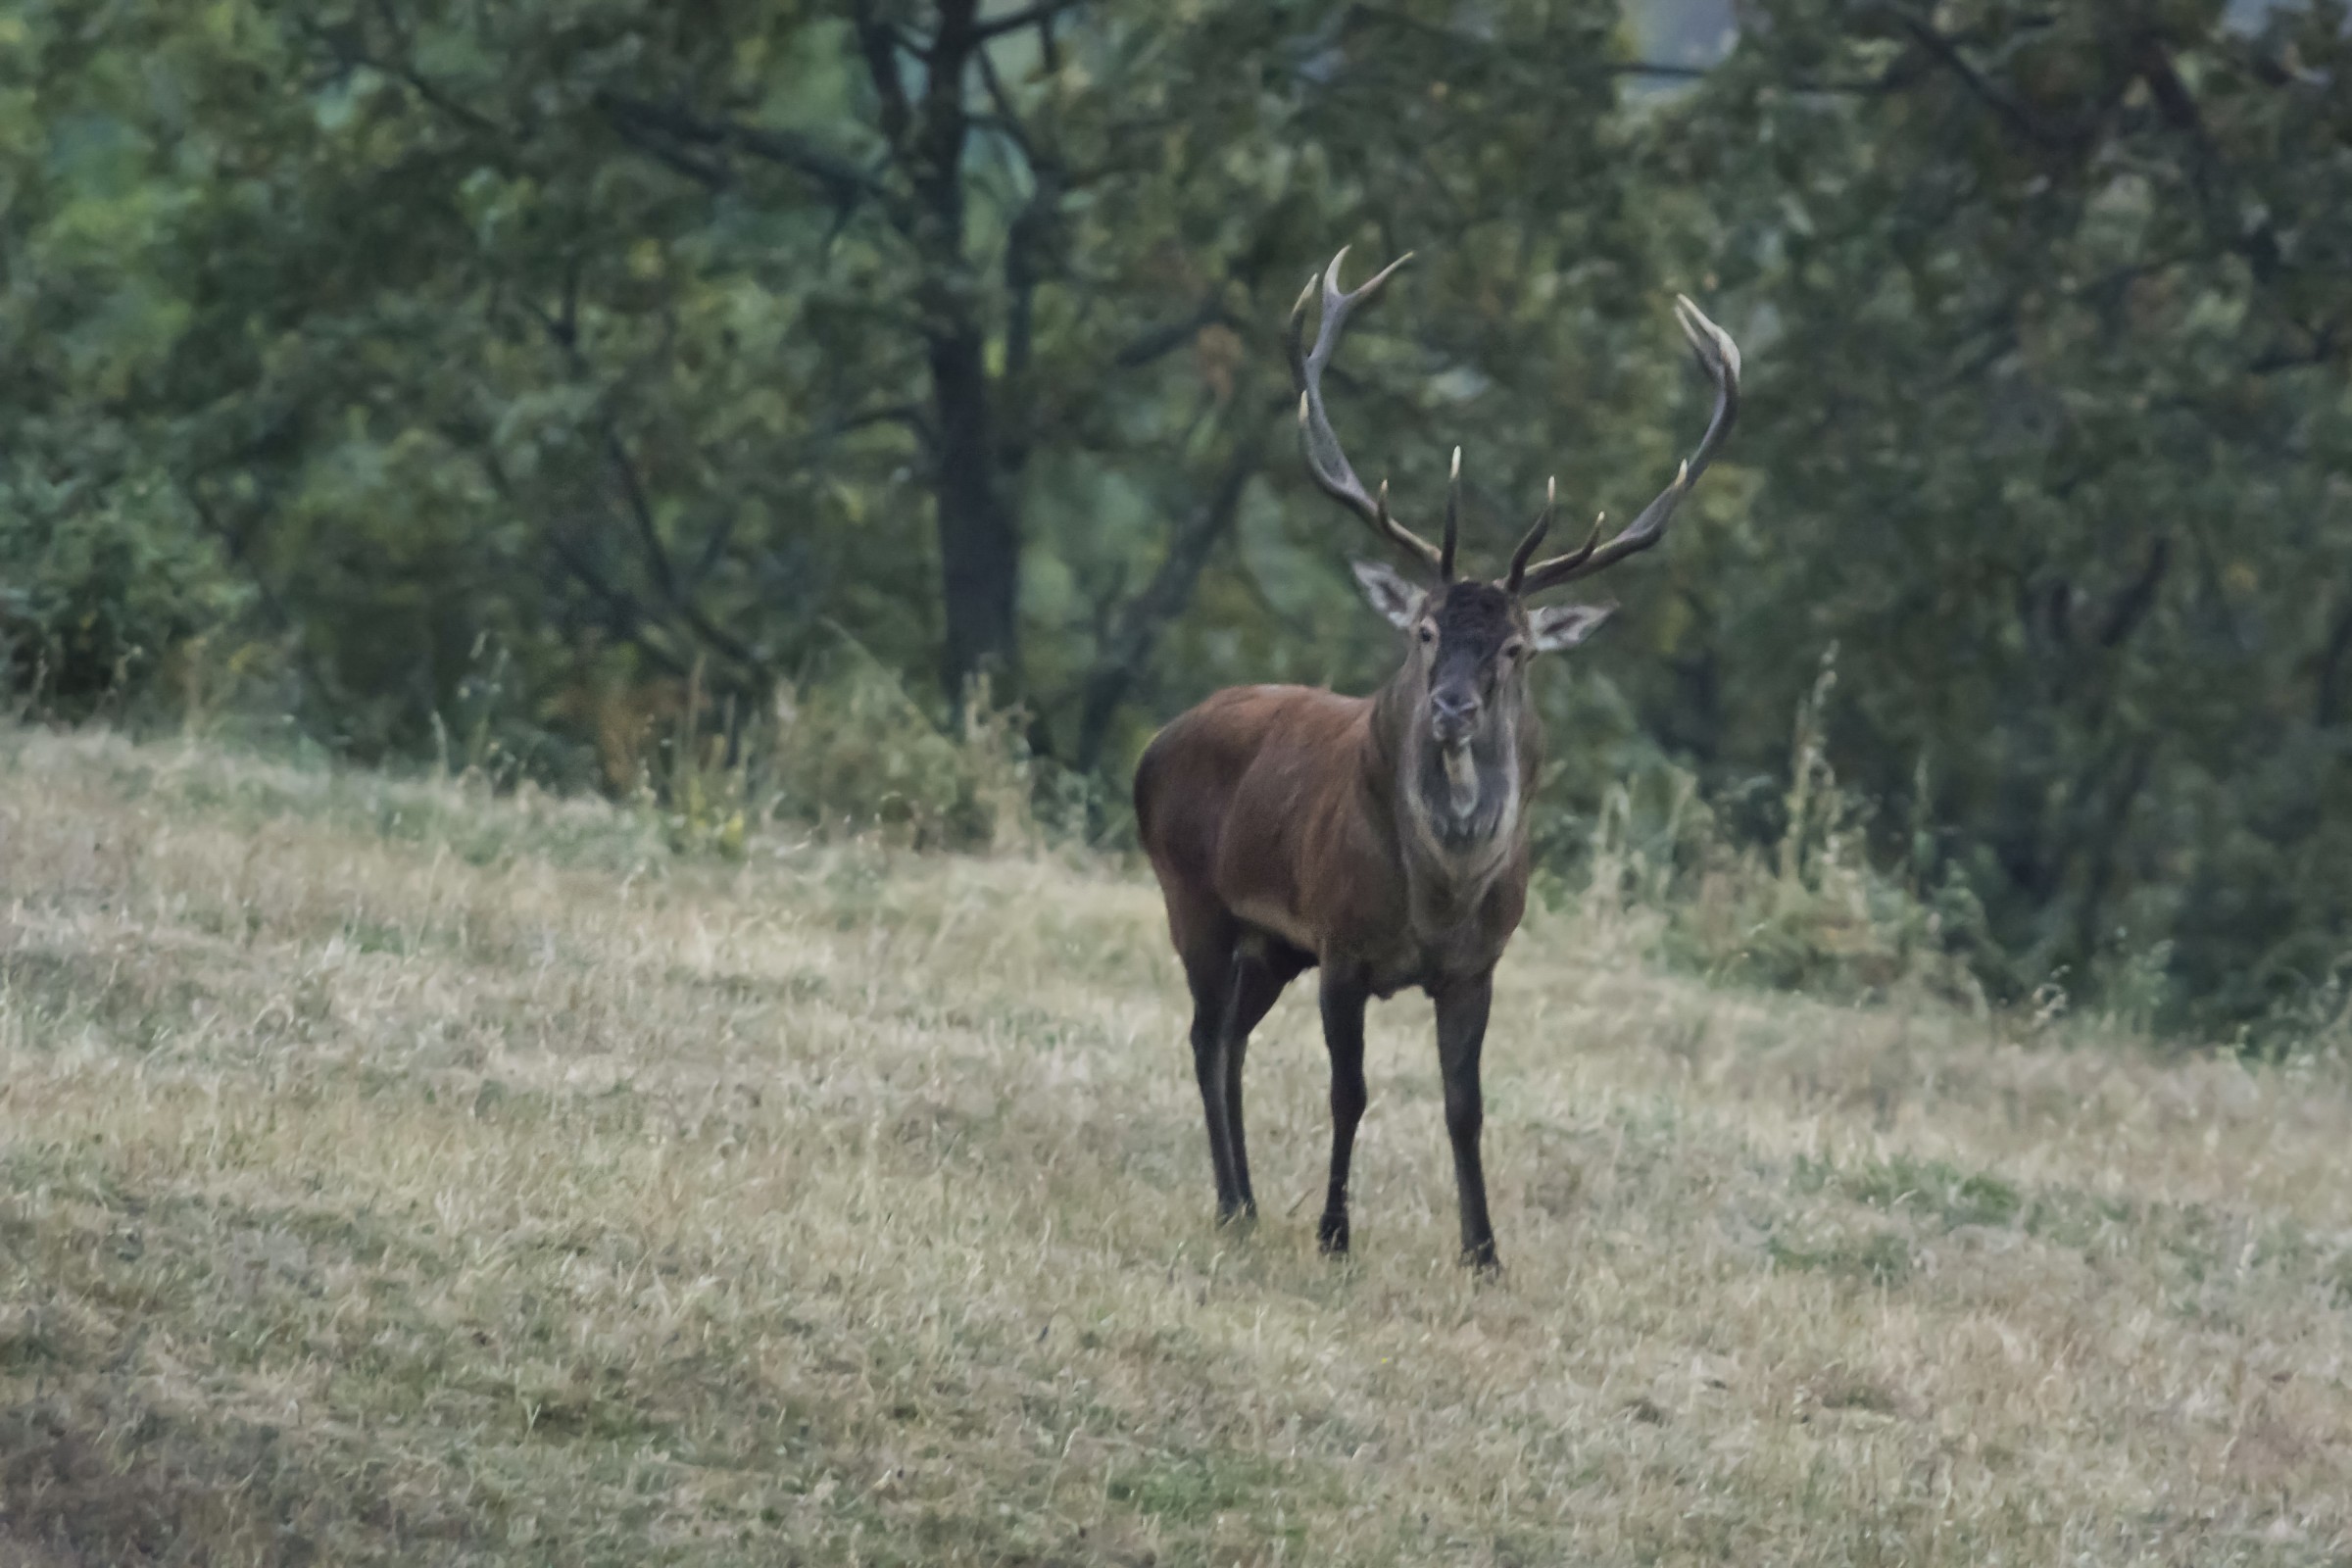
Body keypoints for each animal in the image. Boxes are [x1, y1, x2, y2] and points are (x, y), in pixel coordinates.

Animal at [1132, 248, 1739, 1270]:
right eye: (1423, 630)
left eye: (1516, 649)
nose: (1454, 706)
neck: (1439, 895)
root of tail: (1155, 745)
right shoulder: (1341, 943)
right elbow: (1349, 1092)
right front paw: (1336, 1234)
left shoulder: (1477, 966)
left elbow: (1466, 1108)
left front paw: (1485, 1254)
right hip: (1198, 900)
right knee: (1205, 1035)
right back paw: (1234, 1202)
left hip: (1271, 944)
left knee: (1232, 1040)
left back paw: (1245, 1202)